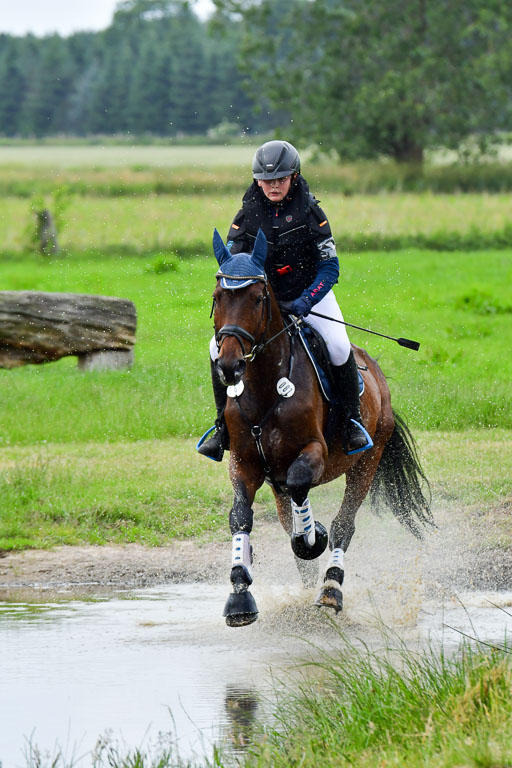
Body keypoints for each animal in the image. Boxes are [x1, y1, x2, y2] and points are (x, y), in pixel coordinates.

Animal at [204, 228, 433, 627]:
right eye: (218, 297)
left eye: (258, 298)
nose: (230, 366)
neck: (265, 389)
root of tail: (377, 373)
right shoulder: (245, 463)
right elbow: (240, 517)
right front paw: (239, 595)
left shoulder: (314, 452)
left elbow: (302, 489)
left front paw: (313, 539)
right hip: (276, 478)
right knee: (290, 518)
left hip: (366, 461)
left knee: (344, 524)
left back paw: (330, 589)